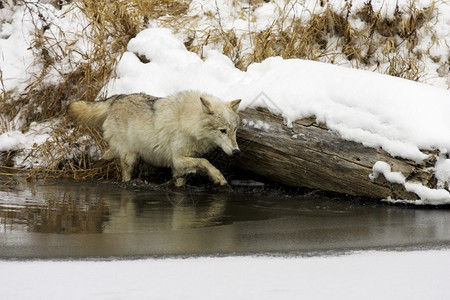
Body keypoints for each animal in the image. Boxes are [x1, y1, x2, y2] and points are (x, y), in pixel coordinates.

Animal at [68, 90, 241, 186]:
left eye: (234, 130)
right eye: (222, 131)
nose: (237, 152)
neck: (188, 121)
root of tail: (117, 98)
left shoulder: (179, 166)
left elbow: (181, 181)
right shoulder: (178, 159)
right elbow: (206, 162)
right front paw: (219, 178)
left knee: (106, 155)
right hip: (130, 157)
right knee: (125, 177)